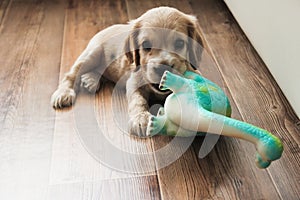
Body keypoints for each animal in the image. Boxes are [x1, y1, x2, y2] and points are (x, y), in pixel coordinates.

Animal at [51, 6, 204, 138]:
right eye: (146, 45)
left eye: (179, 43)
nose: (162, 68)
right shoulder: (134, 81)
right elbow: (137, 100)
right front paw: (140, 119)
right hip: (92, 54)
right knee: (72, 73)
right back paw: (64, 93)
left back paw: (90, 80)